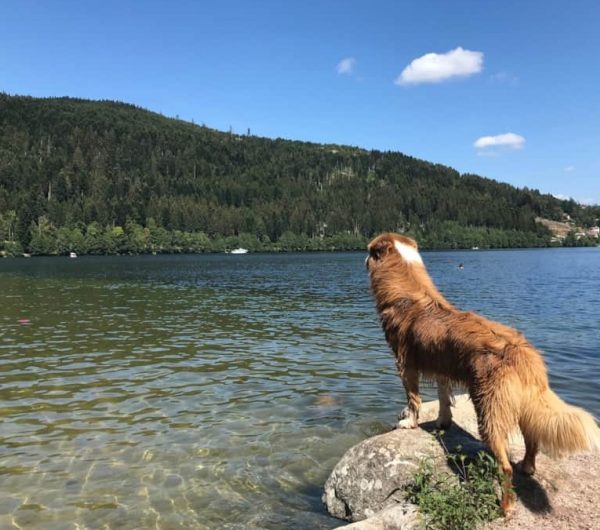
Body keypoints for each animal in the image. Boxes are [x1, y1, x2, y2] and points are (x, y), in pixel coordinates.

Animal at [366, 231, 600, 512]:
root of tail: (523, 353)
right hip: (523, 402)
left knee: (505, 465)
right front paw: (443, 421)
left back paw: (505, 506)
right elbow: (443, 397)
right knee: (532, 437)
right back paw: (528, 467)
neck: (410, 294)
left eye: (369, 251)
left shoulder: (405, 365)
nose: (363, 258)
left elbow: (413, 399)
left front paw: (408, 423)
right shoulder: (442, 364)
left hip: (489, 407)